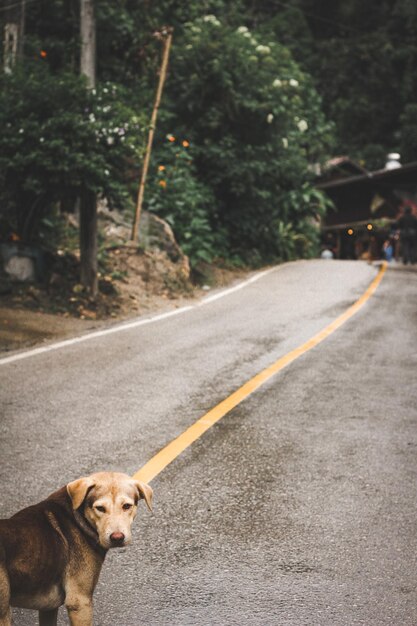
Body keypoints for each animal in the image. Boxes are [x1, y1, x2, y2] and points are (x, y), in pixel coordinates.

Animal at [0, 470, 153, 620]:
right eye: (100, 508)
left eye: (127, 506)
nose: (117, 538)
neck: (78, 518)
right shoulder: (79, 602)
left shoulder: (48, 608)